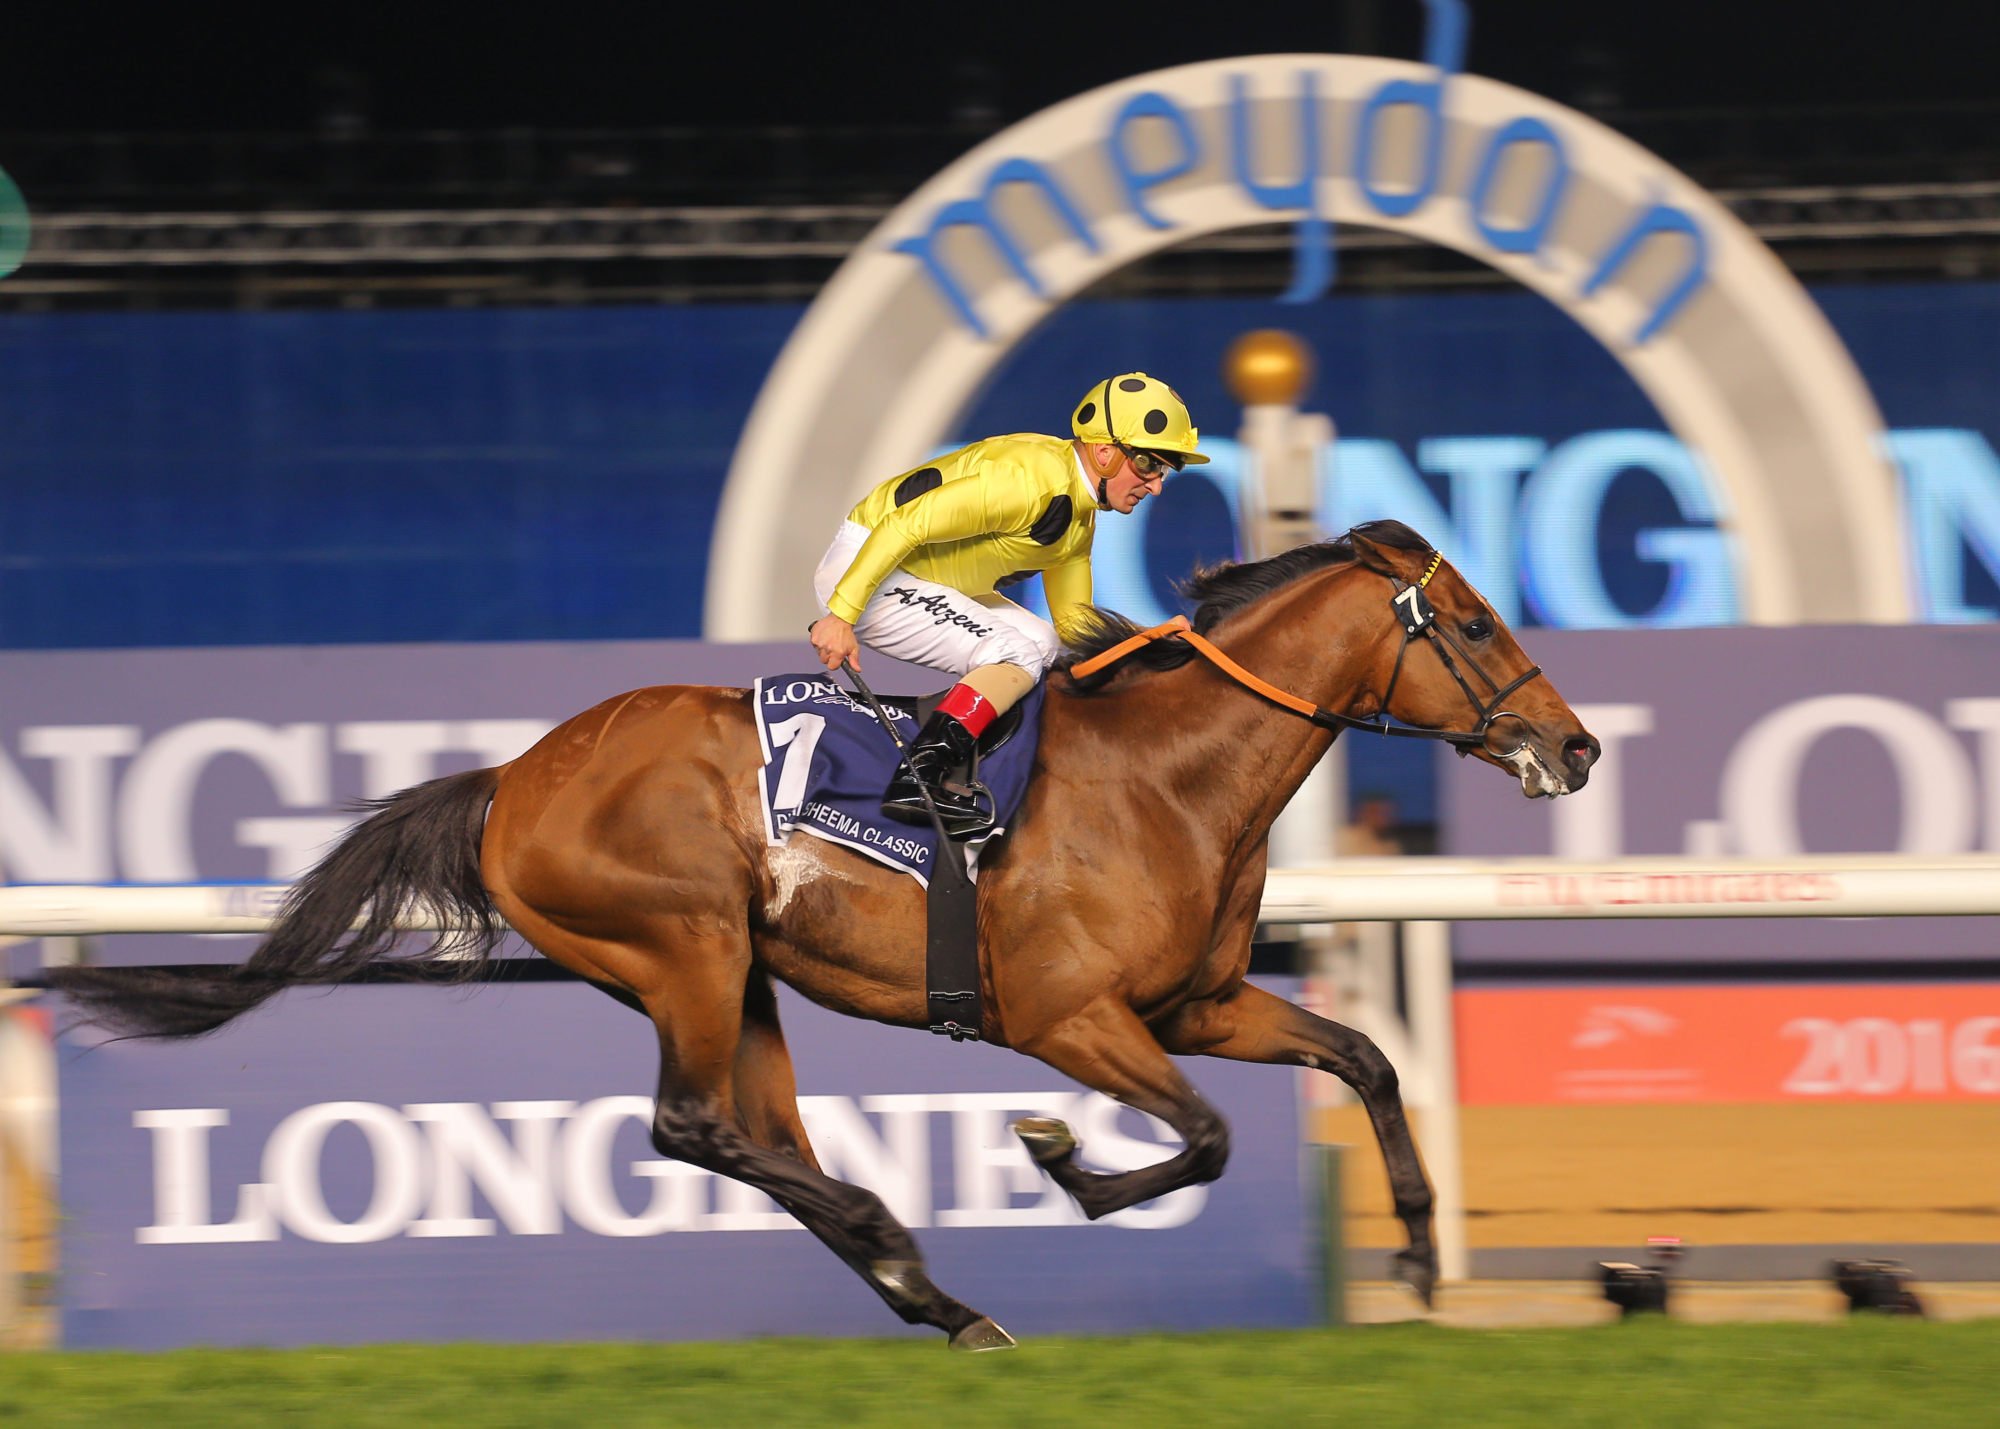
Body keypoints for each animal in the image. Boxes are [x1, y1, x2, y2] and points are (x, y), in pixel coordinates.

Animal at [54, 520, 1600, 1344]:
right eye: (1471, 621)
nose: (1576, 747)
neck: (1166, 776)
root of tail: (514, 777)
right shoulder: (1070, 1019)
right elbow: (1207, 1138)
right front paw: (1062, 1161)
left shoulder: (1195, 1006)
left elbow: (1364, 1059)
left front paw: (1415, 1258)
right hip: (681, 945)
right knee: (694, 1125)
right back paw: (899, 1244)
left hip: (733, 974)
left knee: (759, 1132)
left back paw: (933, 1293)